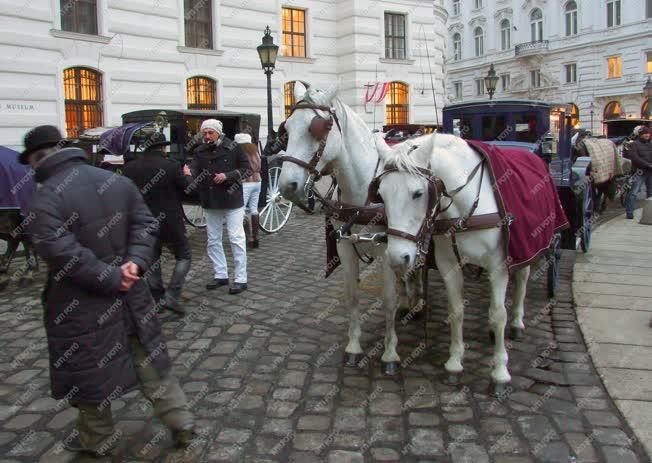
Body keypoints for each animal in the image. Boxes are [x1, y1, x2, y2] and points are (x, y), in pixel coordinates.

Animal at [278, 84, 420, 376]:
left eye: (319, 128)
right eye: (286, 127)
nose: (287, 185)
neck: (364, 193)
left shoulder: (388, 250)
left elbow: (388, 299)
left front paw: (390, 353)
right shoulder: (344, 248)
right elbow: (352, 296)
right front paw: (353, 347)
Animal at [372, 132, 528, 390]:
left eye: (418, 193)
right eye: (381, 195)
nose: (397, 257)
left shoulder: (499, 265)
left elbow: (498, 315)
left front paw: (500, 371)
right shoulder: (449, 265)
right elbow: (456, 310)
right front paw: (454, 362)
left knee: (523, 278)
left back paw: (516, 321)